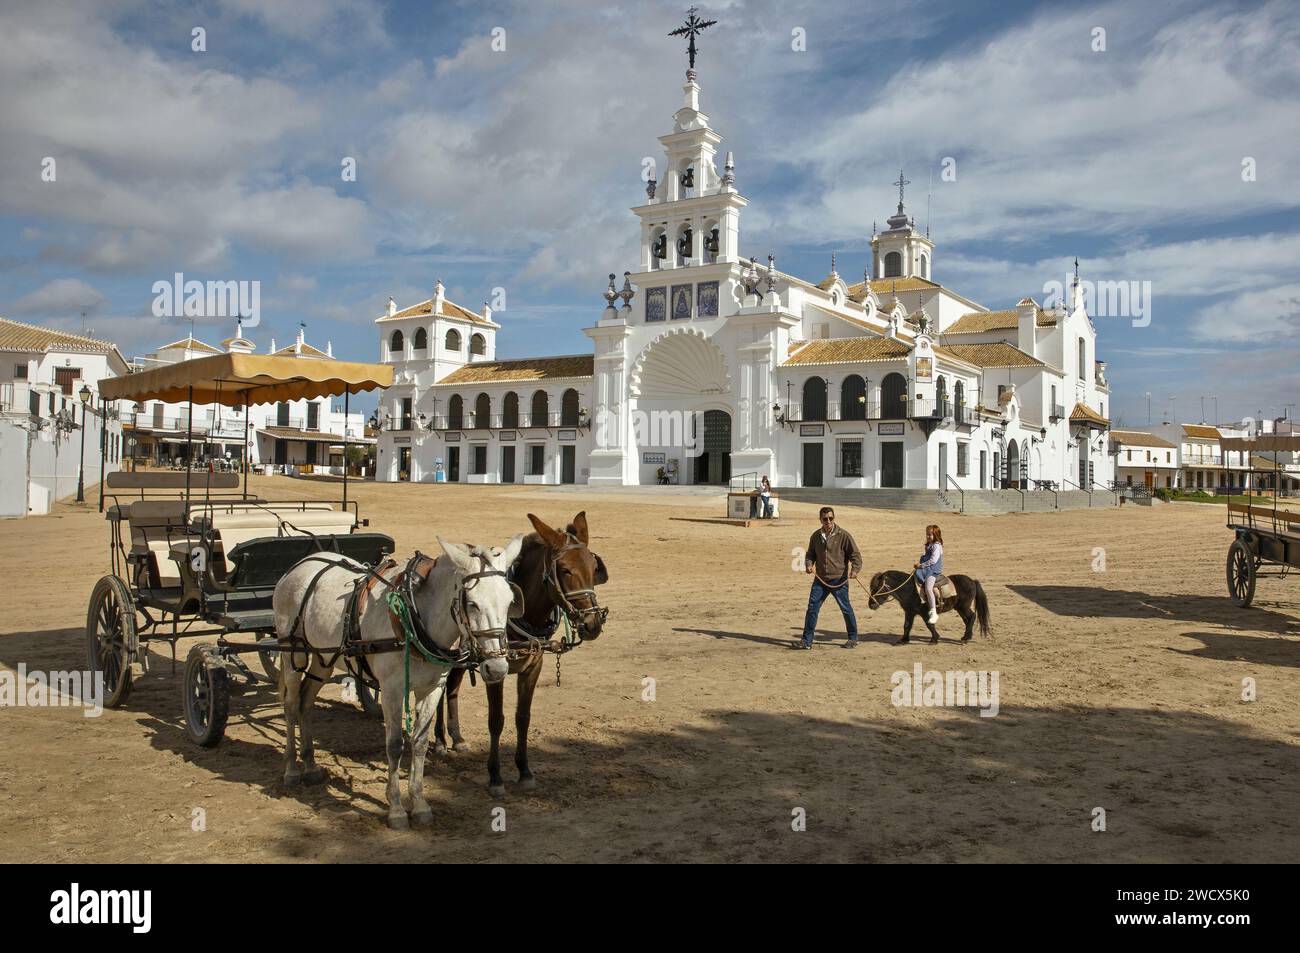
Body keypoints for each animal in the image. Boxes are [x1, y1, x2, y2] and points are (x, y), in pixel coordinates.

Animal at [431, 509, 603, 790]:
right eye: (565, 570)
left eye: (594, 567)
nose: (592, 624)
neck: (524, 616)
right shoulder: (494, 669)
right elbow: (496, 720)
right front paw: (495, 776)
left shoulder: (533, 666)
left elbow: (523, 717)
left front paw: (524, 771)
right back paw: (440, 741)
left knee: (453, 686)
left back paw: (457, 738)